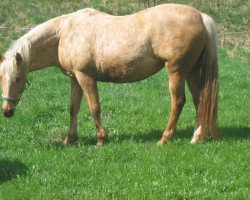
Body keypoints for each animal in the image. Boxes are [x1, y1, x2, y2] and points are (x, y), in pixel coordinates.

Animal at [0, 3, 218, 146]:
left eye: (17, 79)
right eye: (1, 79)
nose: (7, 111)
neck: (65, 33)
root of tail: (200, 16)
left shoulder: (85, 77)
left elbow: (94, 108)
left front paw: (101, 139)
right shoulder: (75, 79)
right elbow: (73, 108)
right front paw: (70, 139)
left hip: (176, 70)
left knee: (178, 101)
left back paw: (165, 138)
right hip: (190, 71)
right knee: (199, 100)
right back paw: (196, 137)